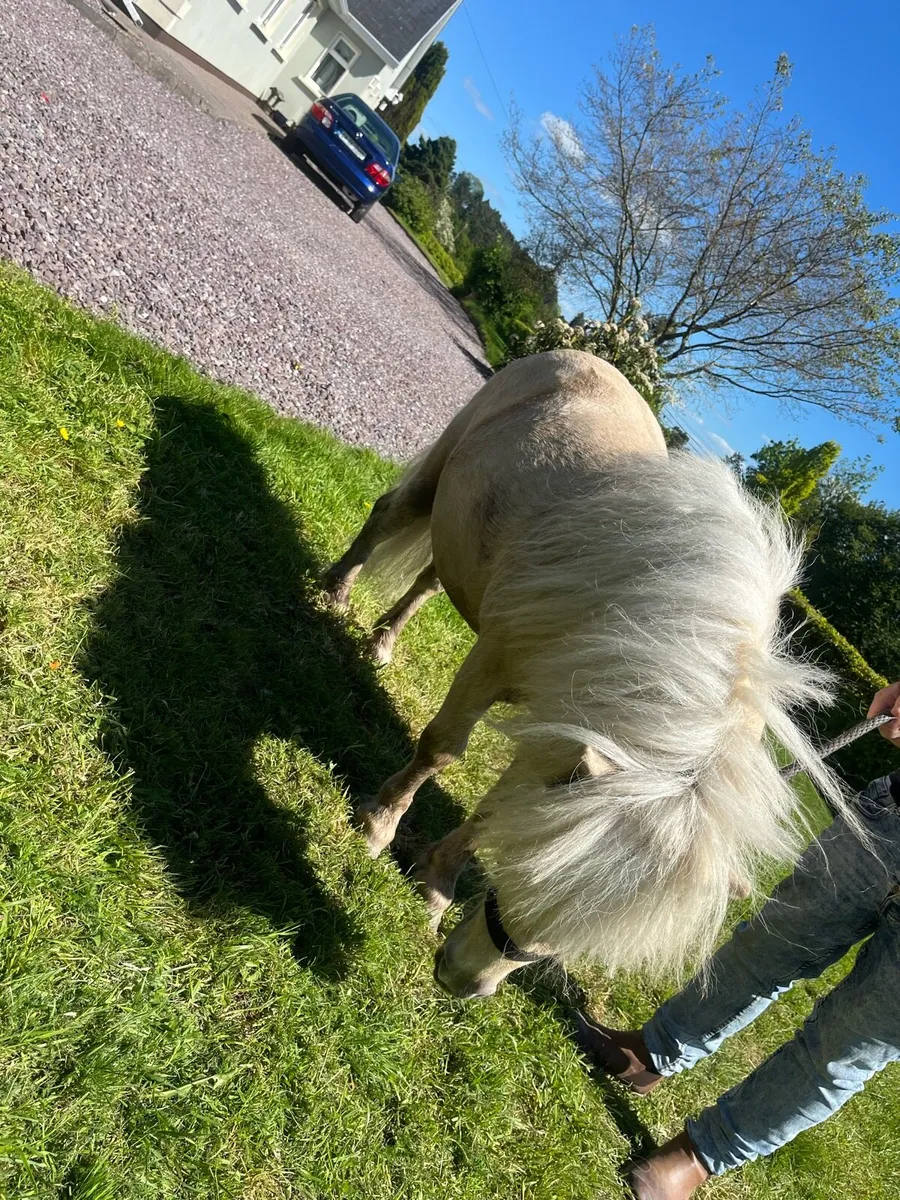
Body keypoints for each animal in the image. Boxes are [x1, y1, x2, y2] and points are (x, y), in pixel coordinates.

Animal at [322, 349, 845, 999]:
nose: (464, 981)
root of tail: (583, 355)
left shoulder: (569, 737)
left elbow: (497, 808)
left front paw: (435, 888)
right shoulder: (497, 665)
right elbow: (442, 751)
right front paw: (377, 828)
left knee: (432, 579)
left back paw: (383, 643)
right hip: (437, 474)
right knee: (389, 514)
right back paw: (336, 591)